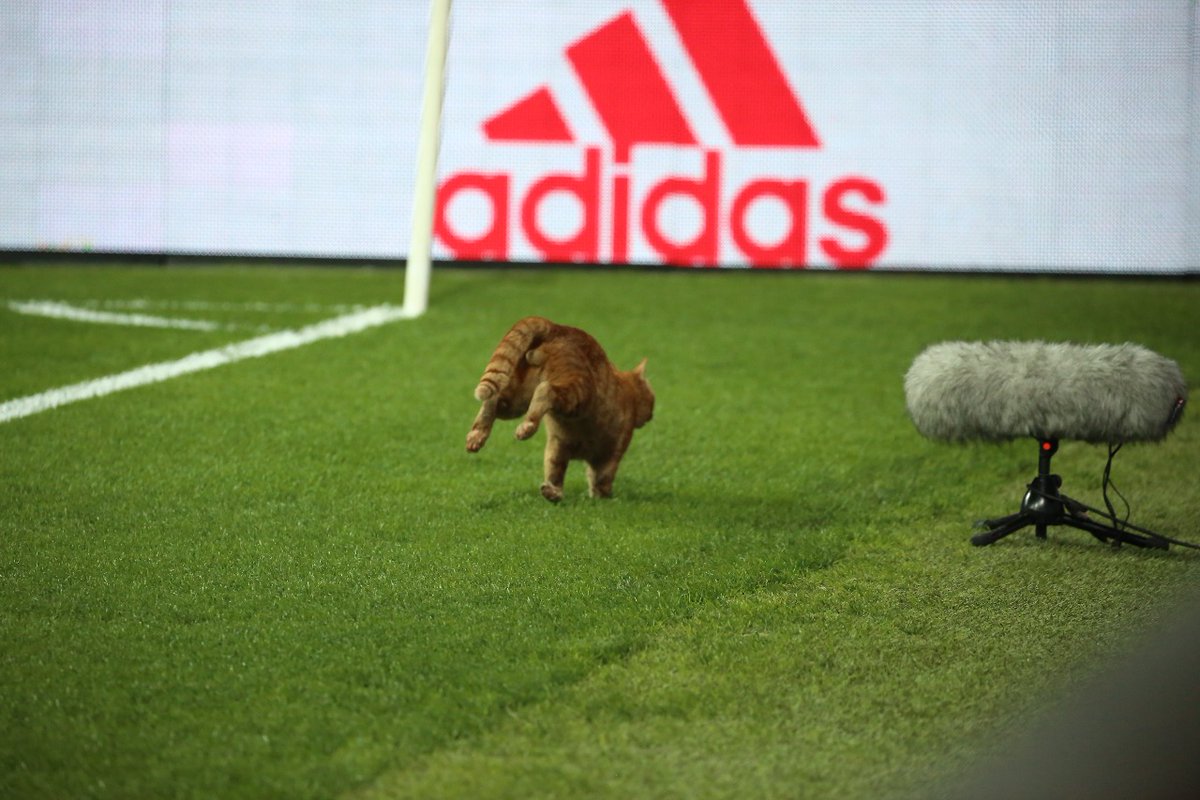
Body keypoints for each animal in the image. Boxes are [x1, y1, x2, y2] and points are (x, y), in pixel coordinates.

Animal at [468, 316, 657, 501]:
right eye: (652, 401)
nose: (651, 416)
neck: (629, 393)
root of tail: (558, 327)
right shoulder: (614, 449)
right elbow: (603, 476)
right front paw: (603, 496)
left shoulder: (559, 445)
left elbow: (554, 470)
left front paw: (554, 492)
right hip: (577, 393)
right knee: (545, 390)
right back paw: (527, 428)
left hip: (517, 397)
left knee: (494, 398)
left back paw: (476, 437)